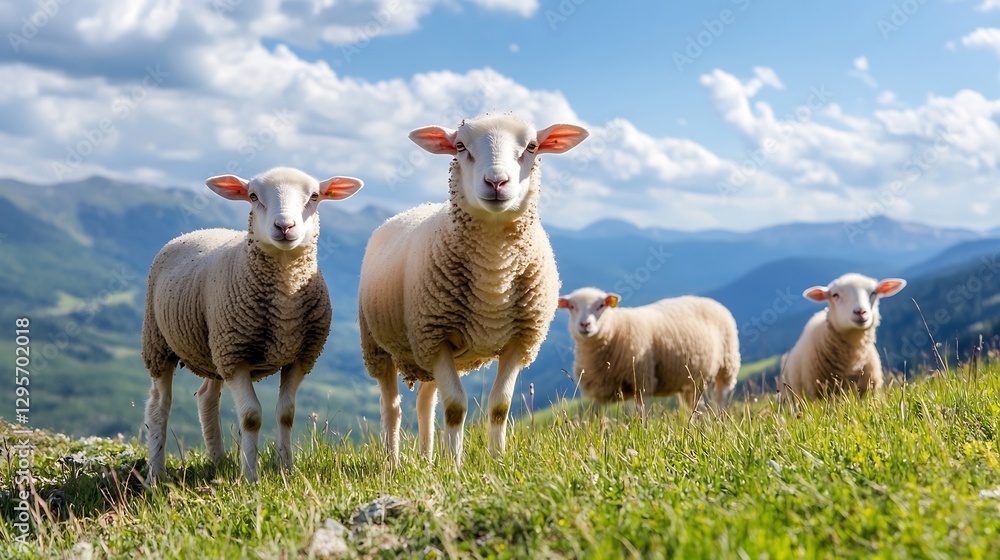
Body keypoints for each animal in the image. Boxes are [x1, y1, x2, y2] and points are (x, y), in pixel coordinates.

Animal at [142, 167, 363, 483]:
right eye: (253, 196)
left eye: (314, 196)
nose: (285, 226)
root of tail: (198, 230)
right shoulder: (236, 358)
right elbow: (251, 417)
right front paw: (250, 476)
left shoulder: (299, 356)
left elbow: (286, 413)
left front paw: (286, 469)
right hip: (159, 342)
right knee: (159, 406)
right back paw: (156, 476)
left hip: (214, 347)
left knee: (207, 397)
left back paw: (218, 461)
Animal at [358, 113, 589, 465]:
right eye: (459, 146)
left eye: (532, 146)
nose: (496, 182)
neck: (494, 272)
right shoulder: (436, 336)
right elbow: (455, 408)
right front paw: (455, 466)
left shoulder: (519, 341)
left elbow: (499, 407)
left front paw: (497, 461)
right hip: (378, 345)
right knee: (391, 407)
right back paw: (393, 462)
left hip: (424, 353)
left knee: (425, 401)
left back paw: (427, 460)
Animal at [558, 287, 741, 412]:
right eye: (572, 307)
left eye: (601, 305)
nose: (585, 324)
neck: (616, 329)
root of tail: (713, 301)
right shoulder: (598, 389)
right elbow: (598, 419)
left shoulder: (642, 380)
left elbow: (641, 414)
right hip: (690, 379)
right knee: (695, 405)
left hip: (727, 364)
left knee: (721, 396)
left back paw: (719, 421)